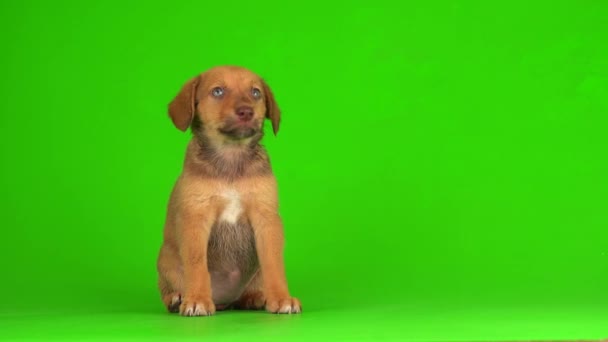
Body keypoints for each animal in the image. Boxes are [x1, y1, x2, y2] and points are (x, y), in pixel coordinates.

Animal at [156, 65, 300, 316]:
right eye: (218, 91)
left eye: (255, 93)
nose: (246, 112)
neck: (231, 156)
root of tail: (225, 301)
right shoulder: (195, 219)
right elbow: (197, 264)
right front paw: (197, 299)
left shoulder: (267, 219)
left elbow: (273, 263)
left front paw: (281, 298)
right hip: (165, 260)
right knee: (169, 287)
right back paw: (177, 298)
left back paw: (255, 297)